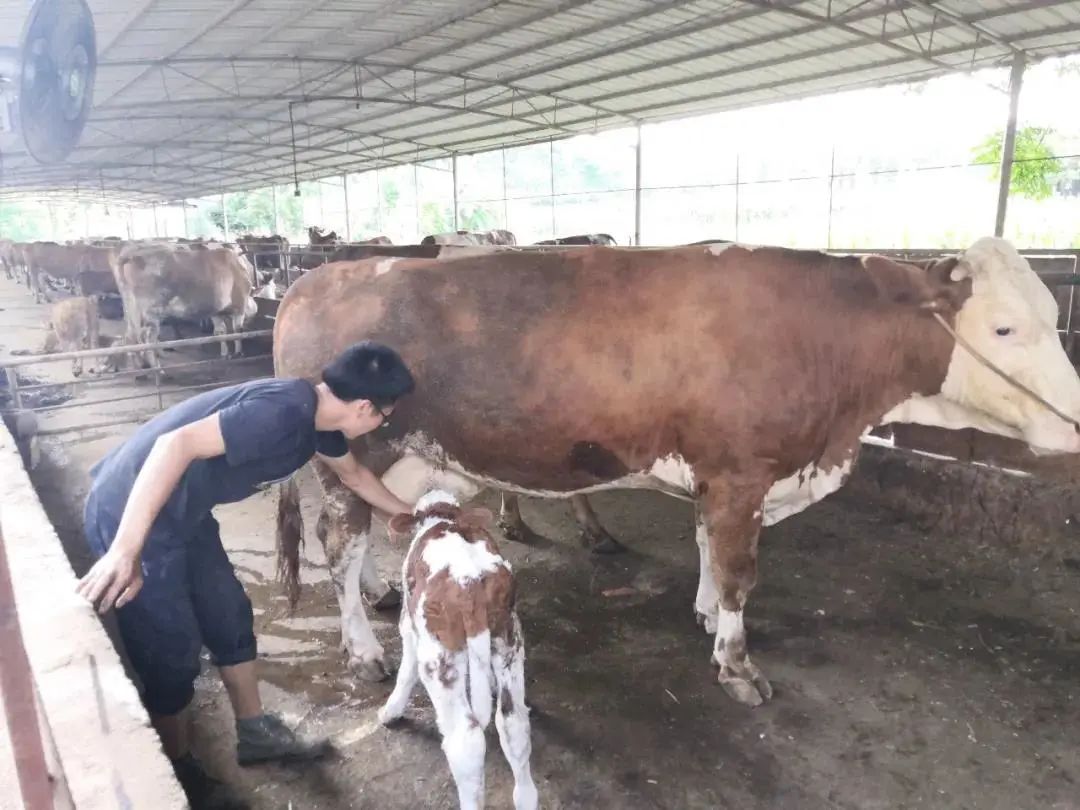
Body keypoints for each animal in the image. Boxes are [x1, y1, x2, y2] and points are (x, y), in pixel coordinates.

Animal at [113, 240, 257, 367]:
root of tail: (131, 254)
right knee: (147, 339)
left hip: (131, 309)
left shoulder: (216, 311)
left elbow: (220, 332)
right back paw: (157, 368)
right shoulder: (240, 304)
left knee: (131, 337)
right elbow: (238, 330)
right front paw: (239, 353)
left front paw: (225, 354)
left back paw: (142, 367)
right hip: (150, 312)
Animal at [274, 236, 1080, 704]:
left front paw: (704, 614)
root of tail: (320, 279)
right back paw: (361, 650)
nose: (1073, 419)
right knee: (340, 543)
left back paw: (381, 596)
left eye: (1051, 316)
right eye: (1004, 327)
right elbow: (738, 570)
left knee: (368, 537)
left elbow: (705, 549)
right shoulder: (742, 473)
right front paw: (736, 664)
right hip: (355, 453)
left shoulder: (717, 474)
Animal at [378, 492, 537, 810]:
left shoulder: (408, 624)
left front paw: (391, 710)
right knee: (513, 723)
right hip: (509, 640)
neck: (443, 518)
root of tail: (472, 582)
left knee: (466, 741)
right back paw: (525, 797)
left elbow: (406, 671)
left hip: (440, 659)